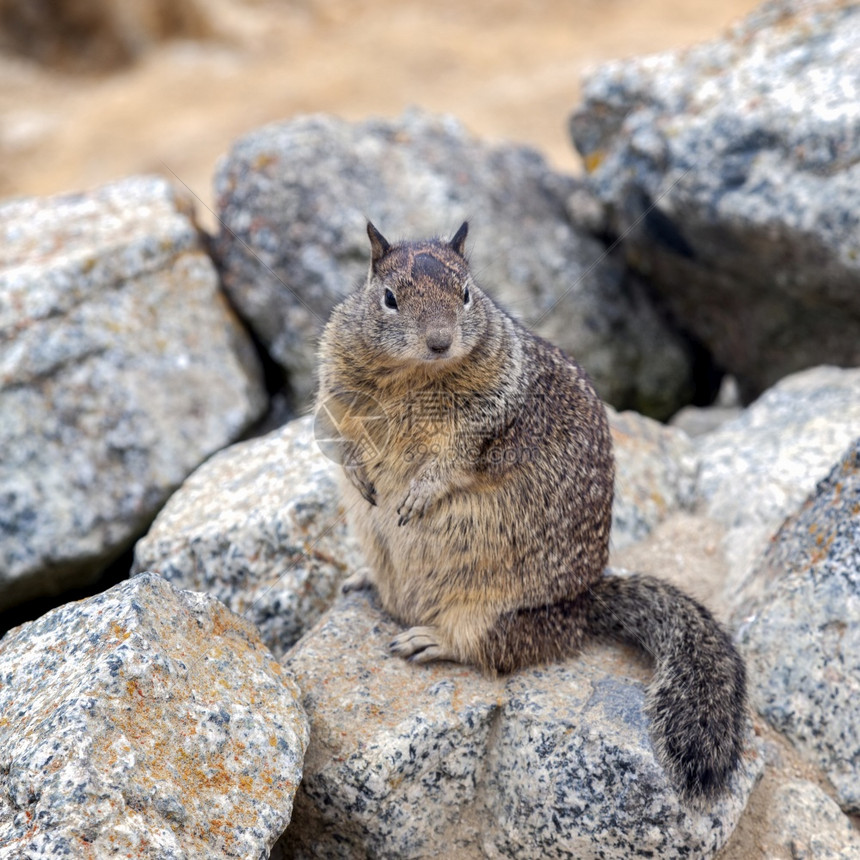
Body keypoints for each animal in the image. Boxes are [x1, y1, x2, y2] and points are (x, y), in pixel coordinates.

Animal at [316, 220, 744, 800]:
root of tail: (583, 604)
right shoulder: (336, 379)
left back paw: (428, 638)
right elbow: (336, 426)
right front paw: (360, 474)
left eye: (466, 293)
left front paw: (418, 494)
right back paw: (364, 578)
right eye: (388, 298)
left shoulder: (491, 415)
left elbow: (454, 458)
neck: (415, 375)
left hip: (493, 613)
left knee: (486, 648)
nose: (440, 341)